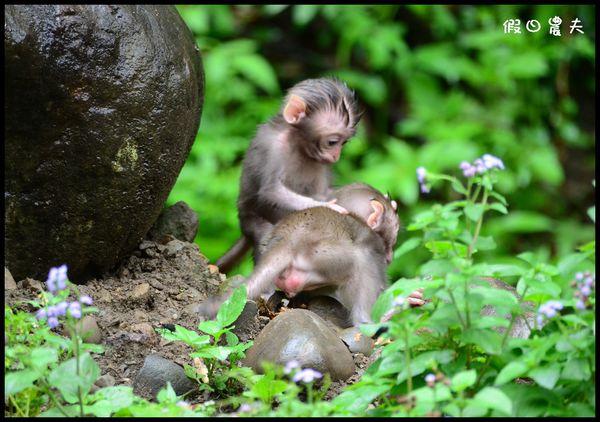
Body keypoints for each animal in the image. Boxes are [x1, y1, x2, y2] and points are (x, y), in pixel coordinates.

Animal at [217, 77, 360, 272]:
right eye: (332, 142)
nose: (336, 156)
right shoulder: (273, 147)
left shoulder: (319, 163)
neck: (298, 144)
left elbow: (320, 192)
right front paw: (328, 207)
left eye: (343, 143)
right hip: (249, 218)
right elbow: (271, 191)